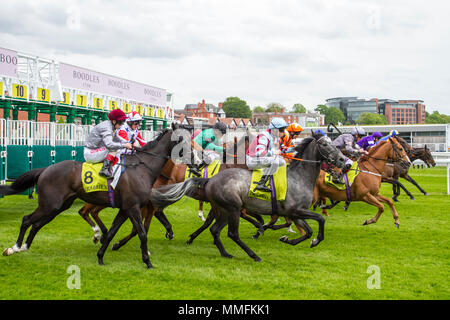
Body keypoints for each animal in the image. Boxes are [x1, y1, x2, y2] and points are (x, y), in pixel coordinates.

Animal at [0, 125, 187, 268]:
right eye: (182, 139)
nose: (193, 156)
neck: (142, 168)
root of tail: (45, 169)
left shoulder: (126, 209)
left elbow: (112, 232)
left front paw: (101, 256)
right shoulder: (133, 207)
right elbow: (141, 232)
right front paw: (147, 261)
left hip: (59, 206)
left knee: (37, 224)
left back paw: (24, 247)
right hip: (50, 205)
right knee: (27, 220)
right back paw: (14, 248)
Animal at [150, 131, 348, 262]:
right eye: (325, 144)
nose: (343, 162)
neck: (299, 177)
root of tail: (210, 180)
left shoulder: (295, 213)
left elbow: (308, 231)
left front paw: (289, 239)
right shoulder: (296, 210)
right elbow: (320, 220)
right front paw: (314, 240)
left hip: (225, 210)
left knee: (215, 229)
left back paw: (225, 253)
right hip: (232, 208)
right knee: (231, 233)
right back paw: (253, 255)